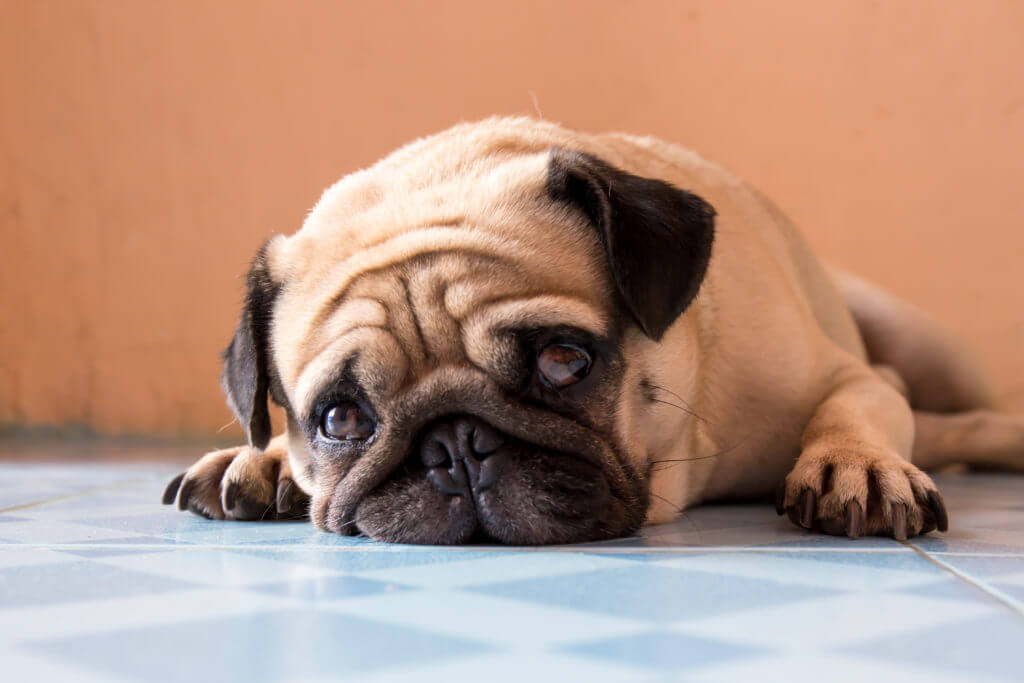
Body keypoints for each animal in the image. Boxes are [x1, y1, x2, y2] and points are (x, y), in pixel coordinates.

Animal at [161, 117, 1024, 544]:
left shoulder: (850, 379)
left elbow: (853, 405)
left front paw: (859, 466)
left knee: (951, 414)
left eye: (564, 361)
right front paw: (264, 457)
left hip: (926, 347)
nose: (454, 445)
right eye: (339, 419)